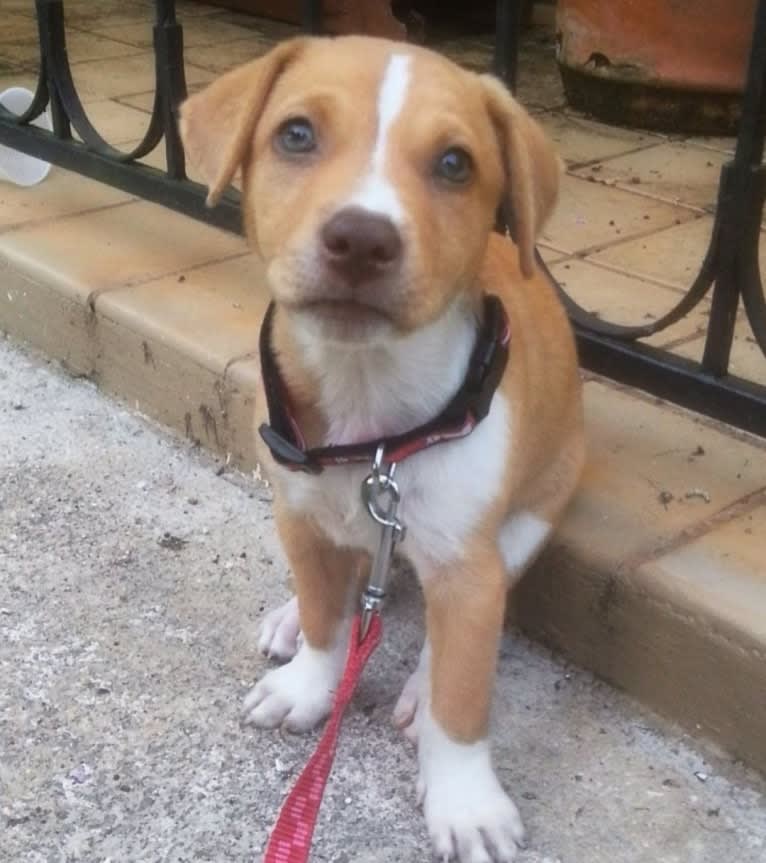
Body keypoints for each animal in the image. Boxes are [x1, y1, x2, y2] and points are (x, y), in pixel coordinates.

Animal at [182, 35, 588, 863]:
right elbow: (326, 618)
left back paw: (418, 690)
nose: (362, 239)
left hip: (531, 516)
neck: (371, 422)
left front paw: (464, 797)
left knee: (459, 630)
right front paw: (311, 680)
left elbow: (463, 694)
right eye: (296, 134)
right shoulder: (300, 517)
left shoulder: (467, 561)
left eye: (456, 163)